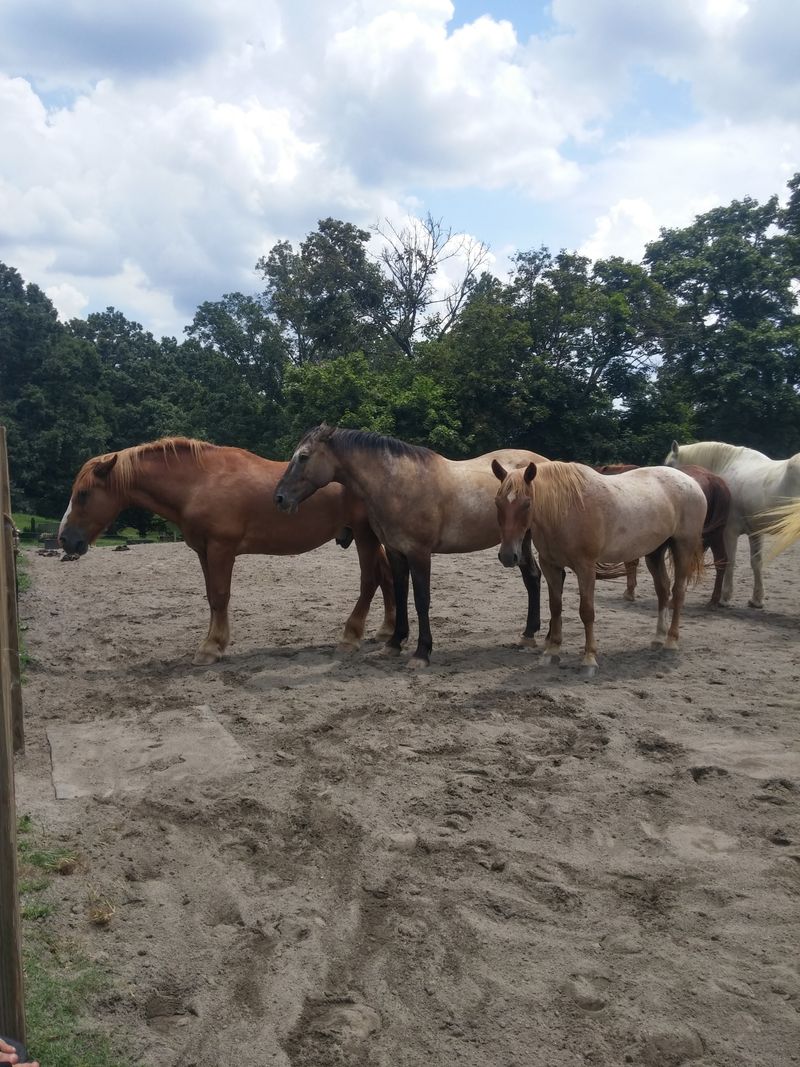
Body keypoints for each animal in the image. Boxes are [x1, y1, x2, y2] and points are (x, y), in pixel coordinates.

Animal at [58, 437, 395, 664]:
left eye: (84, 494)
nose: (65, 540)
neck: (200, 481)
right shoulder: (203, 550)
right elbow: (212, 596)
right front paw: (214, 642)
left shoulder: (221, 548)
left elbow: (220, 595)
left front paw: (211, 648)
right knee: (387, 578)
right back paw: (387, 631)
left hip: (365, 535)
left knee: (369, 581)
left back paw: (351, 637)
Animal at [273, 425, 549, 667]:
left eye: (303, 456)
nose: (279, 497)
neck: (399, 483)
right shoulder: (396, 552)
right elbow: (400, 593)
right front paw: (394, 644)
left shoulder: (419, 554)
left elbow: (421, 599)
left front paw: (421, 653)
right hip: (518, 542)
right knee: (532, 577)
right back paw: (528, 634)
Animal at [493, 460, 706, 676]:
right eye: (497, 502)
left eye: (527, 503)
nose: (508, 556)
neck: (565, 509)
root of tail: (692, 482)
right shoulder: (550, 565)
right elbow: (555, 607)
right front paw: (552, 651)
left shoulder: (585, 567)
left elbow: (587, 611)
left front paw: (589, 659)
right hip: (654, 552)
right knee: (663, 591)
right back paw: (658, 638)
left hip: (683, 548)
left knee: (678, 592)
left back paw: (671, 641)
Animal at [595, 463, 731, 605]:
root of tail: (713, 480)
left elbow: (631, 562)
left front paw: (630, 592)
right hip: (715, 534)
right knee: (720, 560)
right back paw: (714, 598)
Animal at [665, 441, 800, 608]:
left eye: (669, 465)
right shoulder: (755, 533)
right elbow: (756, 562)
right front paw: (756, 600)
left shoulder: (729, 532)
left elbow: (729, 561)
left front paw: (725, 597)